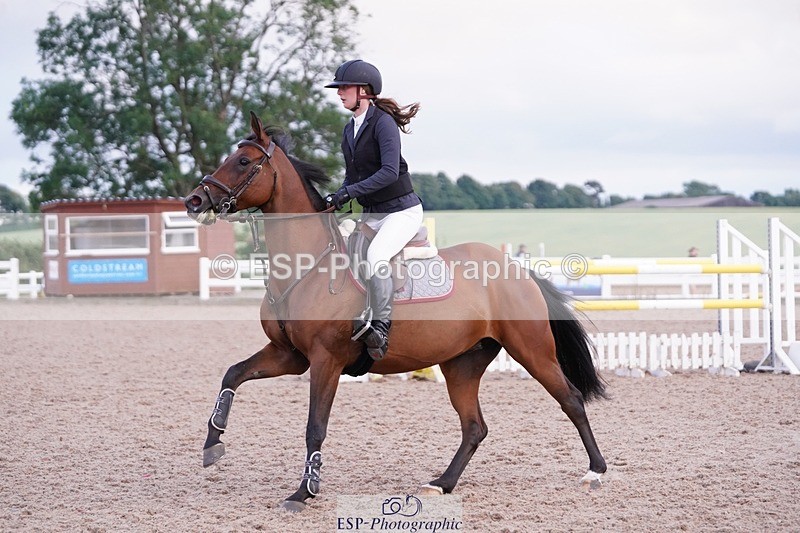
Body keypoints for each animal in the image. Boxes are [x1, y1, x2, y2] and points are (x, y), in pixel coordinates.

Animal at [184, 111, 607, 512]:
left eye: (242, 161)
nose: (194, 201)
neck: (308, 268)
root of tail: (517, 269)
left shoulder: (325, 360)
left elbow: (314, 427)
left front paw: (304, 492)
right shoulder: (289, 355)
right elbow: (233, 374)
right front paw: (212, 443)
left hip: (532, 351)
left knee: (570, 400)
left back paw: (595, 472)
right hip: (463, 363)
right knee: (474, 427)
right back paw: (442, 483)